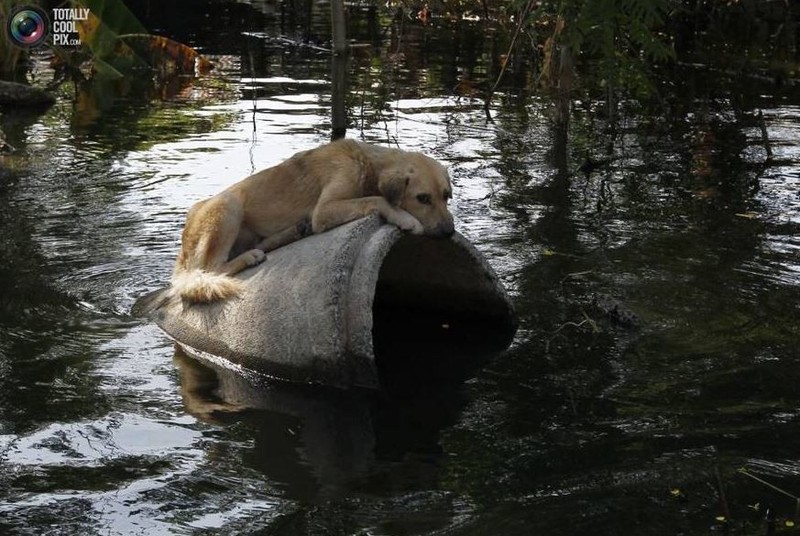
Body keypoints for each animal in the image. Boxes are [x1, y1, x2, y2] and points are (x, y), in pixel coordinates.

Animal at [171, 137, 454, 302]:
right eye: (423, 198)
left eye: (446, 196)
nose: (449, 232)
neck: (367, 164)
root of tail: (182, 253)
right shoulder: (325, 210)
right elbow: (377, 199)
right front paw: (405, 219)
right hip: (228, 205)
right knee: (212, 267)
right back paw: (250, 256)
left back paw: (293, 231)